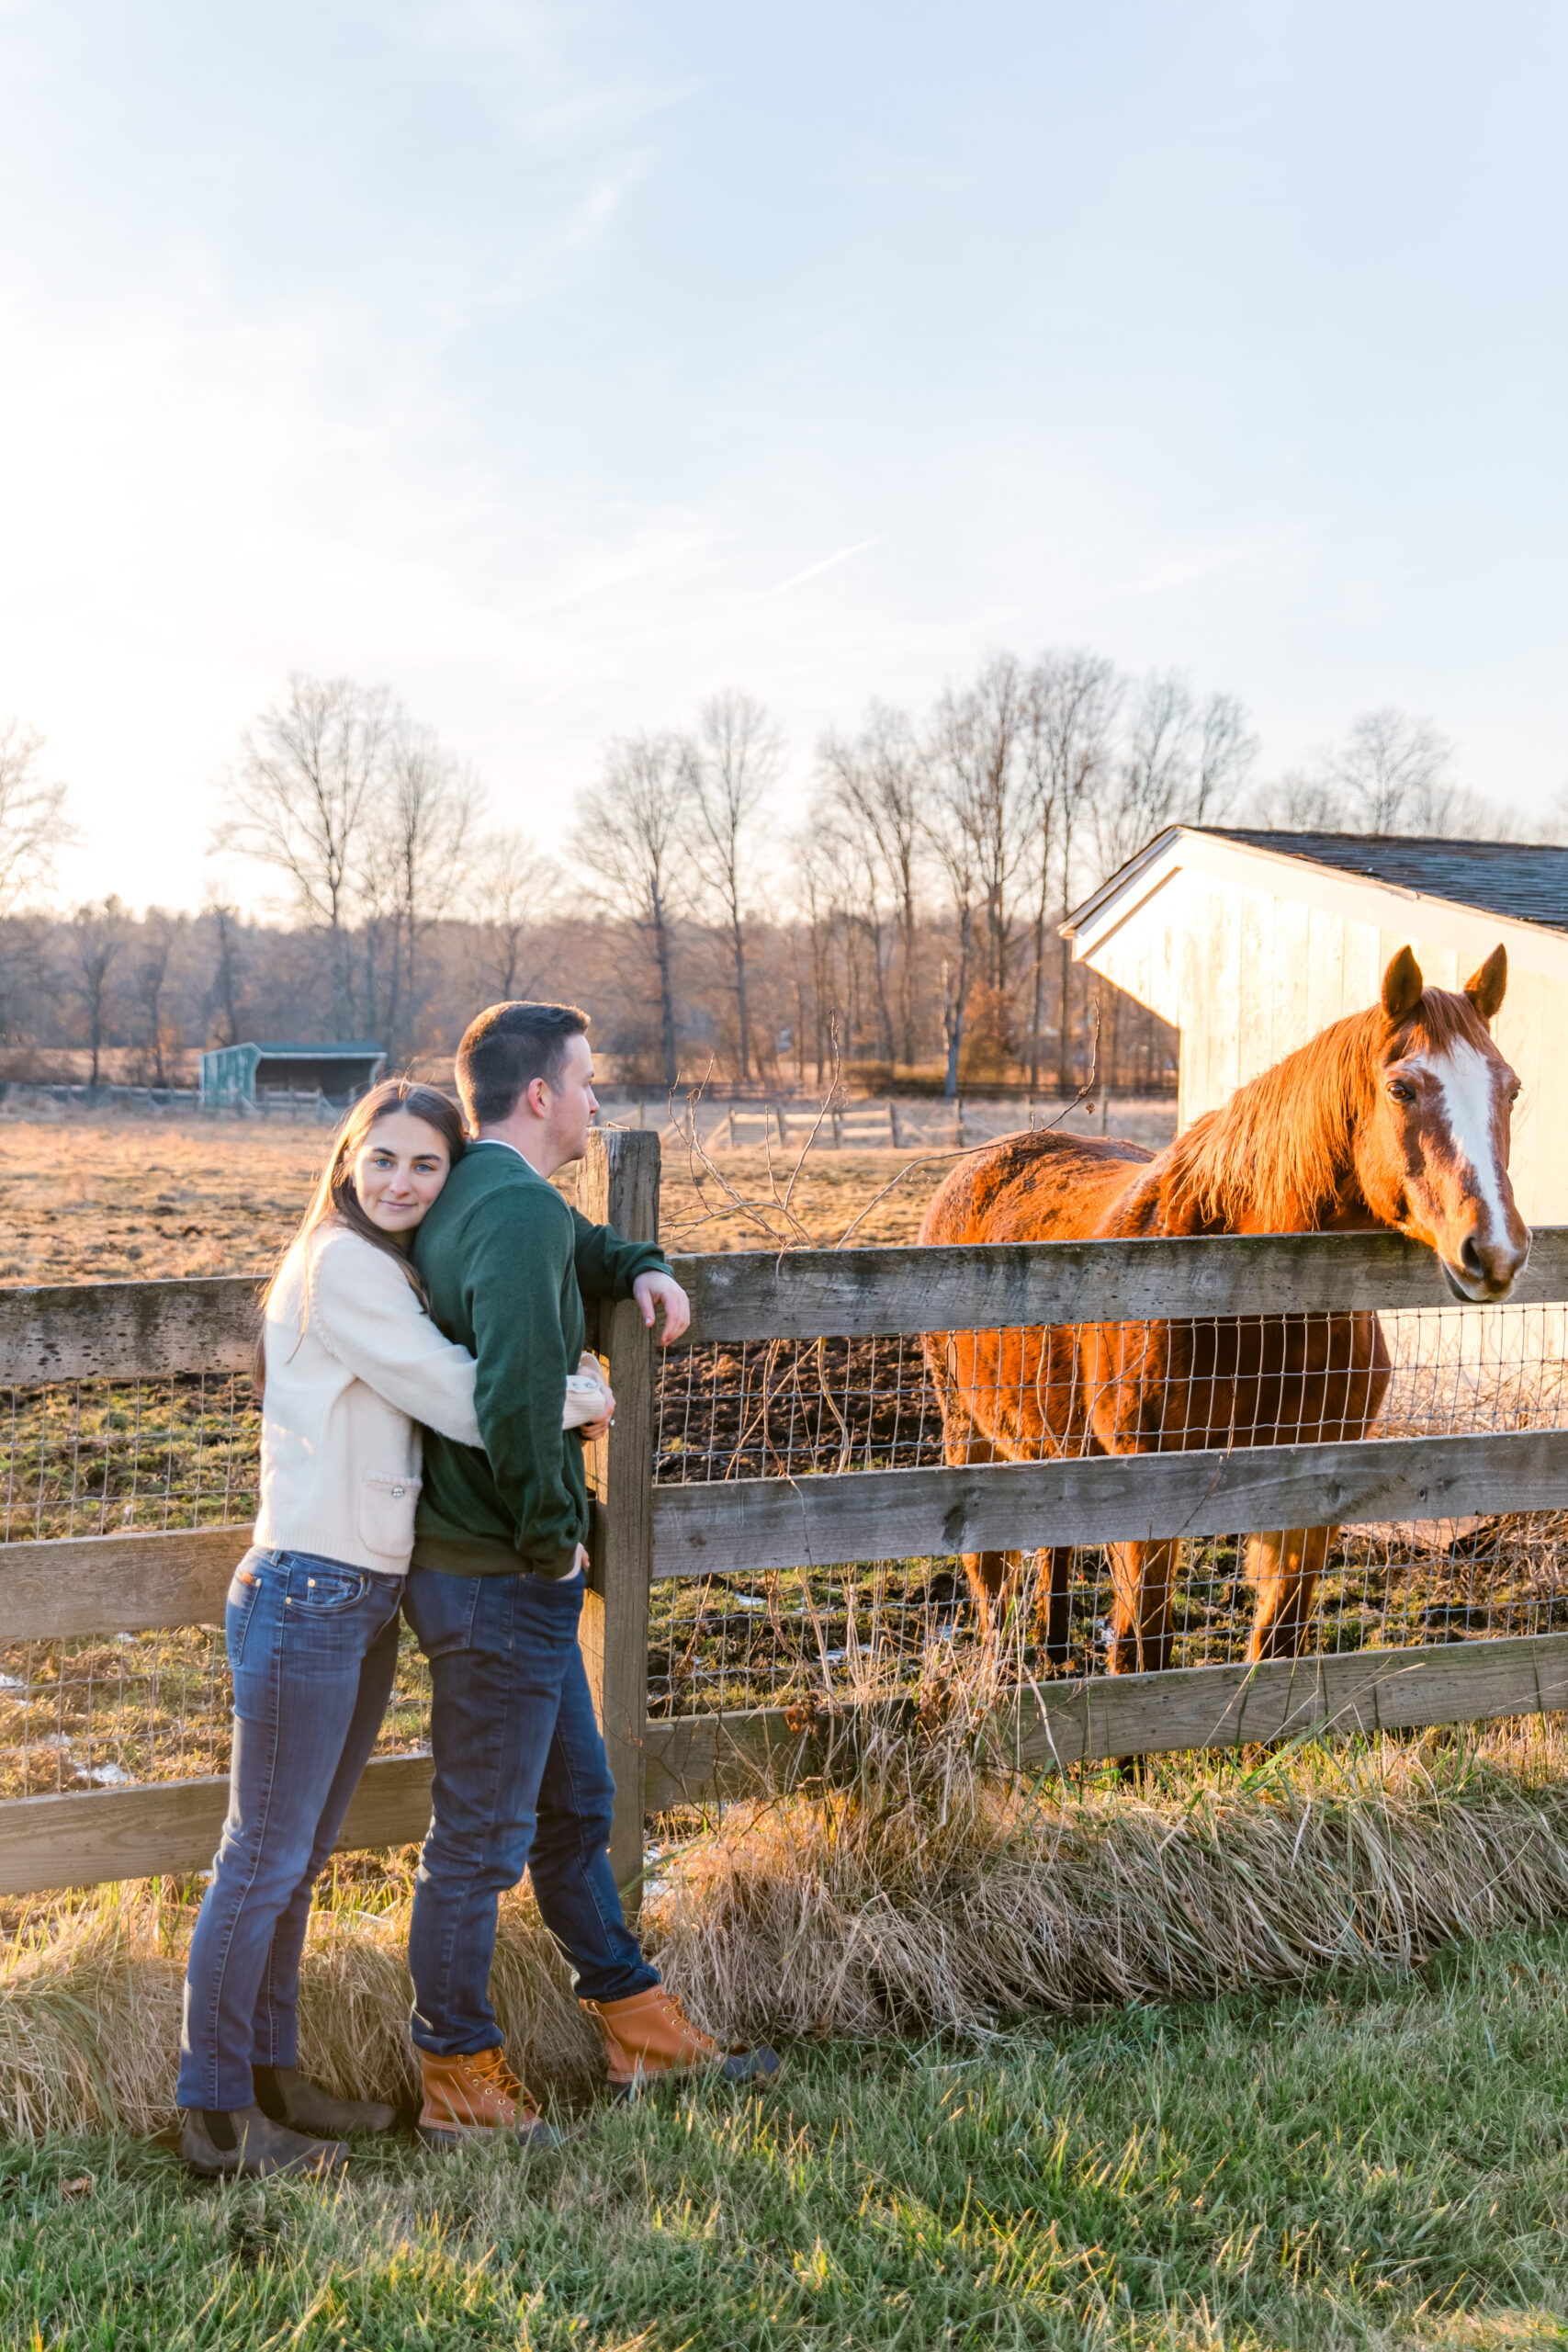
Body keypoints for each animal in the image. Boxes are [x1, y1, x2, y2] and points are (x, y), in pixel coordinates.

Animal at [926, 941, 1523, 1674]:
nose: (1494, 1250)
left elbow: (1278, 1639)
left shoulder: (1313, 1488)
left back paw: (1057, 1648)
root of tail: (981, 1163)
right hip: (968, 1429)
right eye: (1400, 1089)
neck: (1250, 1306)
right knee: (987, 1576)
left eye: (1511, 1089)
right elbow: (1144, 1652)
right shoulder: (1149, 1498)